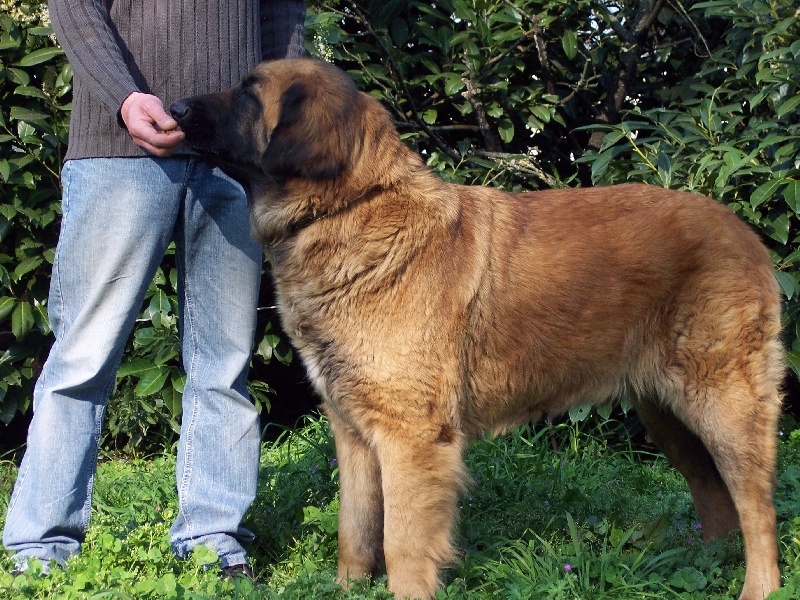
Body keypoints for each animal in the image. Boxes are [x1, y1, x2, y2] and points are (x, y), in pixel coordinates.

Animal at [171, 57, 784, 600]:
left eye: (249, 95)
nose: (172, 107)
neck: (351, 206)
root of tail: (744, 233)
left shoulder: (411, 439)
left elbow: (401, 544)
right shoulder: (353, 433)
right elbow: (355, 532)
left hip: (723, 405)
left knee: (758, 508)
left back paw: (759, 587)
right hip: (667, 414)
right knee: (715, 498)